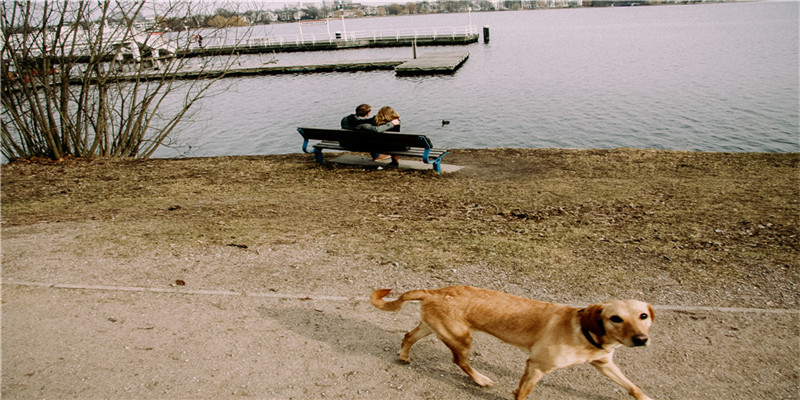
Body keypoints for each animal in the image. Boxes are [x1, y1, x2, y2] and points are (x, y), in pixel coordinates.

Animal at [372, 284, 652, 400]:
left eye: (643, 316)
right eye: (615, 318)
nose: (641, 339)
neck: (583, 330)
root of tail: (434, 291)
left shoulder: (605, 364)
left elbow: (632, 387)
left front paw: (645, 397)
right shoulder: (535, 367)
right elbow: (522, 394)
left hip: (433, 328)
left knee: (408, 336)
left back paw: (404, 356)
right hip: (461, 338)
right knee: (460, 361)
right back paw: (480, 379)